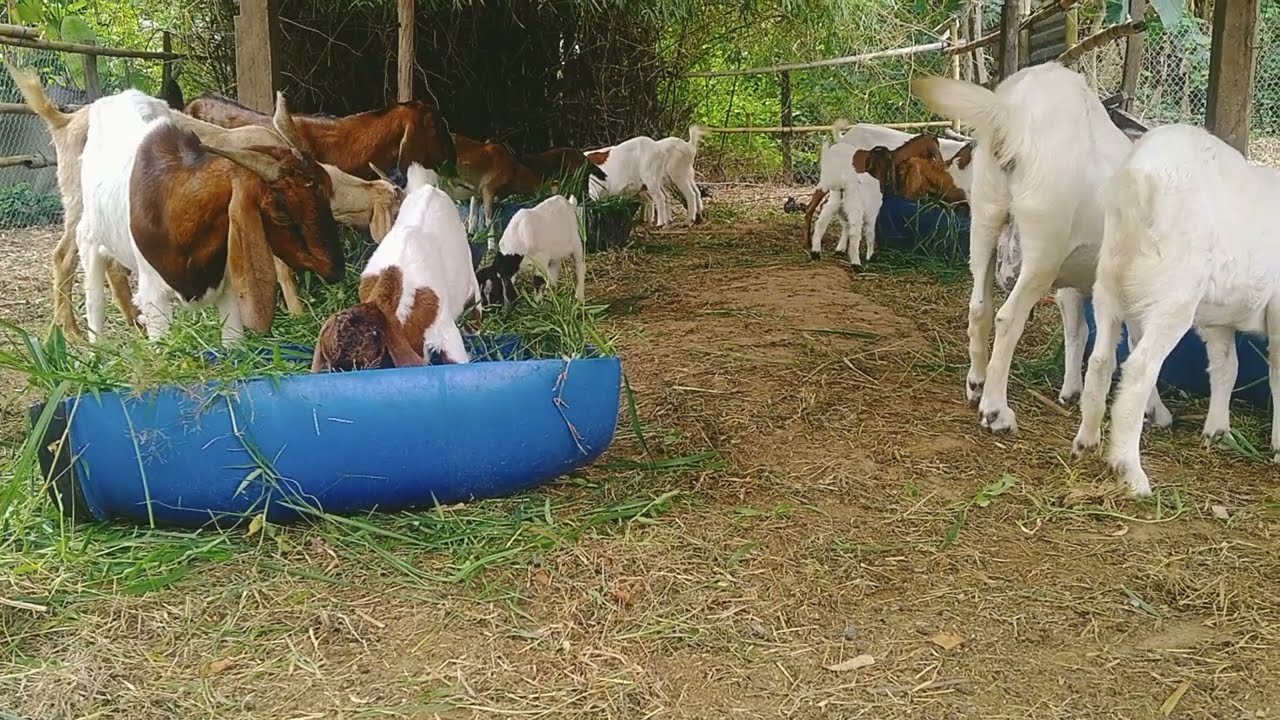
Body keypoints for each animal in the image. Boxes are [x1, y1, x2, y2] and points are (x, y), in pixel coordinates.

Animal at [78, 91, 344, 343]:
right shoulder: (154, 300)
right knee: (94, 298)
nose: (335, 269)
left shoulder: (228, 287)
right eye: (282, 216)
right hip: (88, 235)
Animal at [911, 61, 1171, 435]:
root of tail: (1013, 115)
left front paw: (1072, 391)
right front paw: (1156, 411)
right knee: (1008, 318)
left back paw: (976, 384)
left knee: (979, 307)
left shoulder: (1076, 280)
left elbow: (1078, 329)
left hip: (985, 221)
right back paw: (995, 411)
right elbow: (1139, 344)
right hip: (1043, 248)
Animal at [1071, 124, 1280, 497]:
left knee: (1101, 362)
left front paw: (1218, 431)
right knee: (1139, 369)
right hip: (1172, 297)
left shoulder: (1218, 322)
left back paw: (1088, 439)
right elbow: (1276, 376)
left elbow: (1227, 368)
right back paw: (1130, 469)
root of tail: (1137, 182)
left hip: (1110, 286)